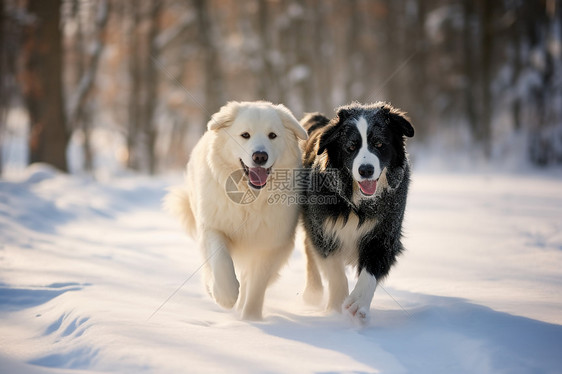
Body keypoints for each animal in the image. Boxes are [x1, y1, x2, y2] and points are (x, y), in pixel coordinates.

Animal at [165, 101, 306, 320]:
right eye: (245, 135)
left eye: (272, 135)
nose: (260, 156)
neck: (250, 199)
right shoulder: (213, 227)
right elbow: (221, 261)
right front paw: (225, 295)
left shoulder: (272, 244)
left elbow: (256, 285)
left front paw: (250, 318)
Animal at [300, 102, 414, 324]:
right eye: (351, 147)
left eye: (379, 144)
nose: (366, 170)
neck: (357, 204)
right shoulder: (323, 228)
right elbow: (334, 270)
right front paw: (335, 309)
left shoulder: (385, 231)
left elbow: (370, 270)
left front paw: (357, 304)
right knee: (309, 250)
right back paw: (313, 292)